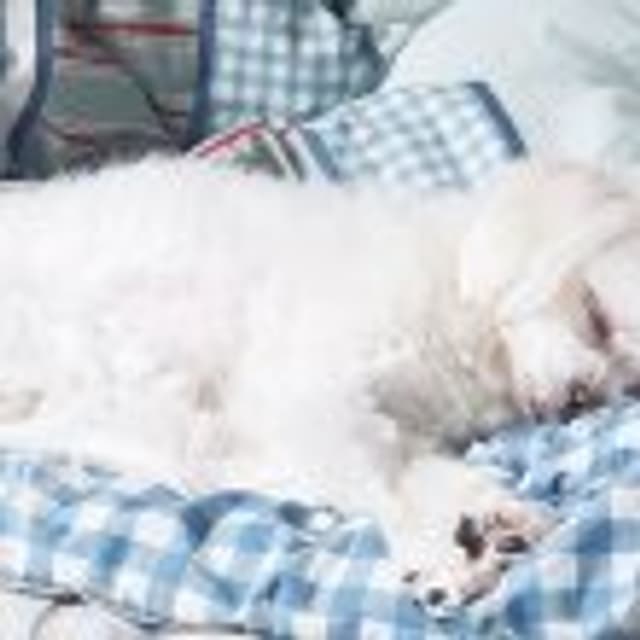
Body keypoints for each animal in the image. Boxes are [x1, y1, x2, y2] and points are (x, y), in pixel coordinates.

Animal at [0, 157, 638, 605]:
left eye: (628, 382)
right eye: (595, 316)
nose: (581, 400)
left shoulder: (397, 428)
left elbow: (423, 475)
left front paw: (487, 520)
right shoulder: (303, 394)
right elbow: (381, 481)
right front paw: (438, 548)